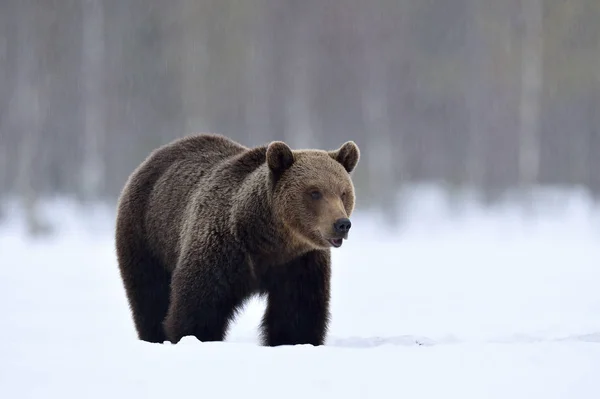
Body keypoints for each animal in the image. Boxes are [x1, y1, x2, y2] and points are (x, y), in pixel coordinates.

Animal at [114, 134, 358, 346]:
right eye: (314, 192)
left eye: (343, 192)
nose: (341, 224)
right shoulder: (220, 250)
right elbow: (198, 306)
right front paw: (192, 336)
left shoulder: (300, 264)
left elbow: (297, 313)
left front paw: (294, 341)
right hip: (146, 234)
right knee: (150, 294)